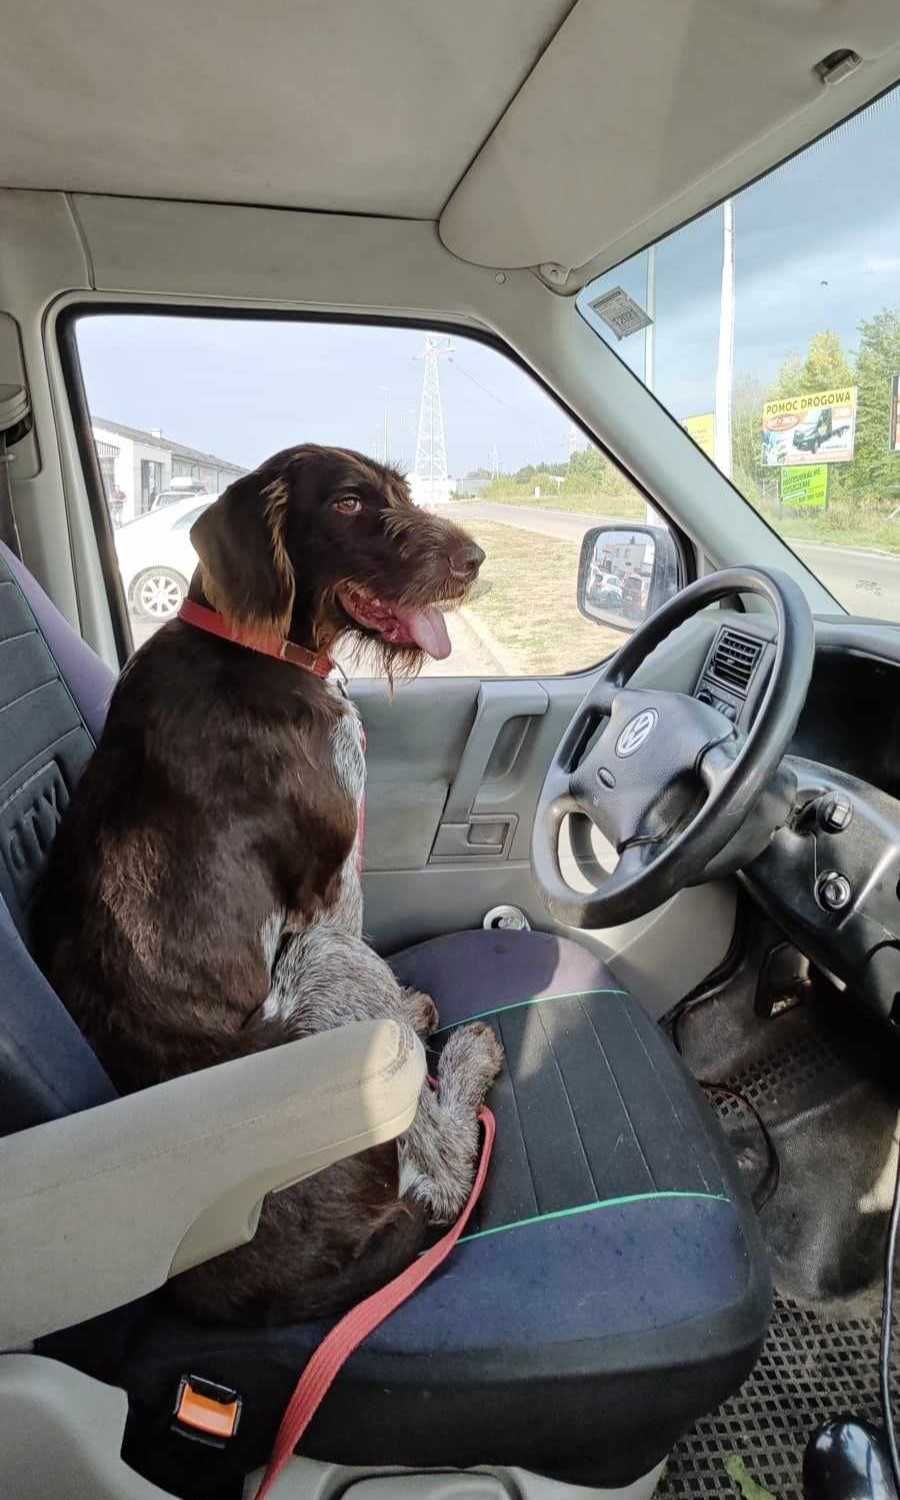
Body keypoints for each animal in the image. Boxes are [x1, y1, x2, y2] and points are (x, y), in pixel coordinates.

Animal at [35, 444, 504, 1326]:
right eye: (349, 503)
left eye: (402, 489)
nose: (474, 559)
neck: (255, 644)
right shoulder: (329, 899)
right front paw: (411, 1016)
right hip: (324, 979)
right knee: (442, 1173)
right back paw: (465, 1062)